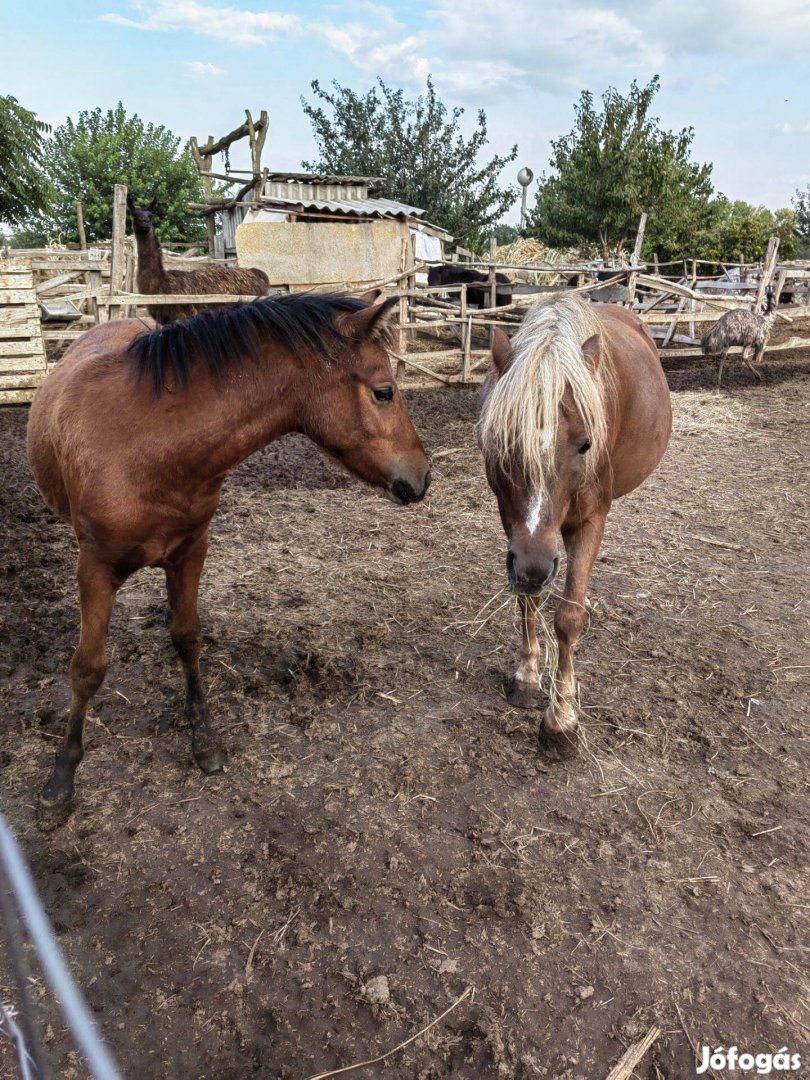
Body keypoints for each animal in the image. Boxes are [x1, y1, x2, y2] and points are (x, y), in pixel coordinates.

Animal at [27, 291, 432, 820]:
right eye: (384, 392)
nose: (422, 477)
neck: (144, 443)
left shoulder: (191, 552)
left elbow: (187, 638)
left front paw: (204, 738)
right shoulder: (93, 569)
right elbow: (87, 669)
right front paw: (61, 778)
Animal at [481, 291, 673, 756]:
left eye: (585, 444)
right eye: (500, 440)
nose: (535, 565)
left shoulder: (587, 522)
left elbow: (568, 617)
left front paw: (562, 720)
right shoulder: (515, 530)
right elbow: (527, 601)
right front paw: (527, 678)